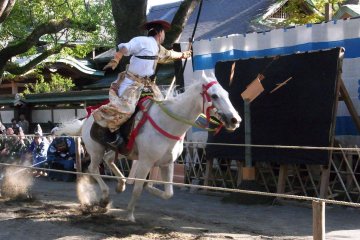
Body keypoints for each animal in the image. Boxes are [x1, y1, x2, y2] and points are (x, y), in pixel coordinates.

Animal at [55, 72, 242, 222]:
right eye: (214, 96)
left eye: (226, 94)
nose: (235, 120)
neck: (168, 123)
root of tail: (86, 120)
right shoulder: (145, 162)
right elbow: (138, 189)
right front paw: (130, 215)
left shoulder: (167, 163)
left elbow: (168, 193)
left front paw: (149, 189)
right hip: (96, 150)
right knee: (93, 169)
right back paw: (105, 198)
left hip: (123, 152)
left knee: (108, 159)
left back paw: (120, 184)